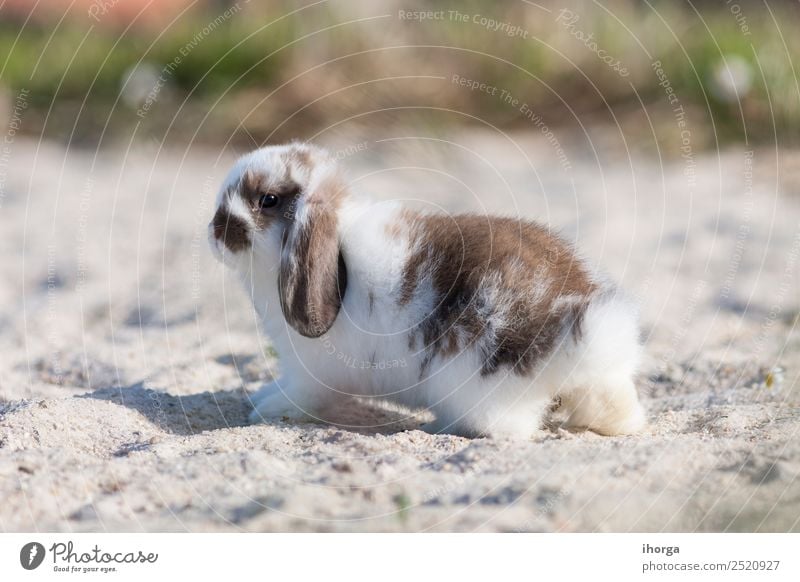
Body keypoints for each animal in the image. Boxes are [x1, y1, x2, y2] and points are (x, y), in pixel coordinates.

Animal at [206, 144, 644, 440]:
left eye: (268, 200)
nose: (215, 232)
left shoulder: (309, 374)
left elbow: (298, 396)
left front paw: (264, 408)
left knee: (508, 429)